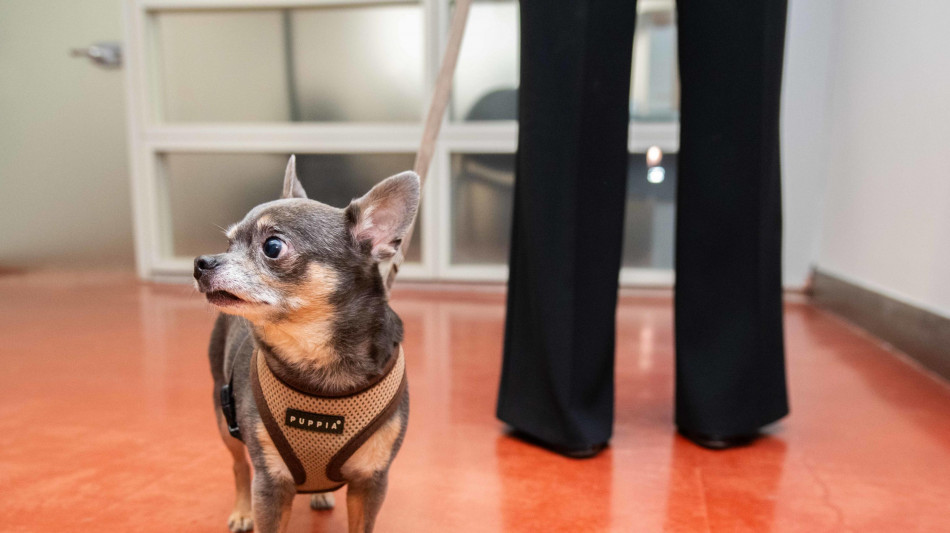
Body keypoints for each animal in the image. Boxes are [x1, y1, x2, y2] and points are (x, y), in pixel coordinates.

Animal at [195, 155, 418, 532]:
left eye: (272, 247)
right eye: (228, 244)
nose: (201, 263)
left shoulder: (370, 481)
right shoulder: (271, 483)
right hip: (223, 415)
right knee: (239, 465)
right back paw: (242, 511)